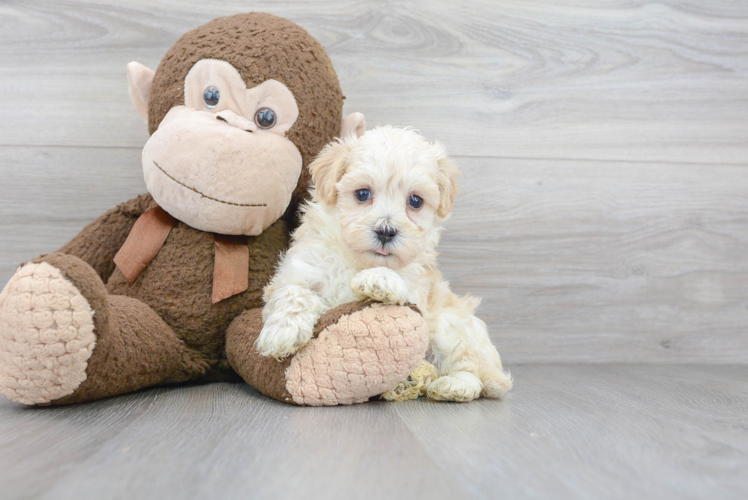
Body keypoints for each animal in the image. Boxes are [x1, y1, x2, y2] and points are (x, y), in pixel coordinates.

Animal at [254, 126, 512, 402]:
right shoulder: (299, 269)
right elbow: (293, 293)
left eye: (415, 201)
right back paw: (407, 383)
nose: (386, 231)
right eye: (362, 194)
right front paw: (282, 333)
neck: (357, 259)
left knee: (469, 371)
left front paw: (378, 279)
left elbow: (400, 284)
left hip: (451, 326)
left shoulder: (419, 292)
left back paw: (452, 386)